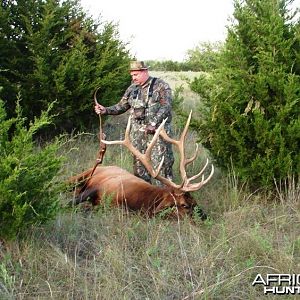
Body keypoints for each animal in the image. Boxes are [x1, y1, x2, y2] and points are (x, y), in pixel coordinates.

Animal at [68, 112, 213, 218]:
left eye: (195, 201)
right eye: (185, 205)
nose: (205, 217)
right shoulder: (99, 187)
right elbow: (71, 202)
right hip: (82, 175)